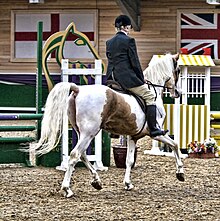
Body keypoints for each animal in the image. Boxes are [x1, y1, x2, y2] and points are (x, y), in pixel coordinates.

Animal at [30, 53, 183, 197]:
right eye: (178, 70)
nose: (178, 93)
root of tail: (78, 89)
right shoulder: (156, 134)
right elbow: (175, 145)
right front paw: (180, 173)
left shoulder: (133, 136)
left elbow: (129, 160)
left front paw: (128, 183)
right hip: (89, 133)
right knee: (75, 155)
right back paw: (67, 189)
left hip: (82, 132)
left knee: (82, 154)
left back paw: (96, 181)